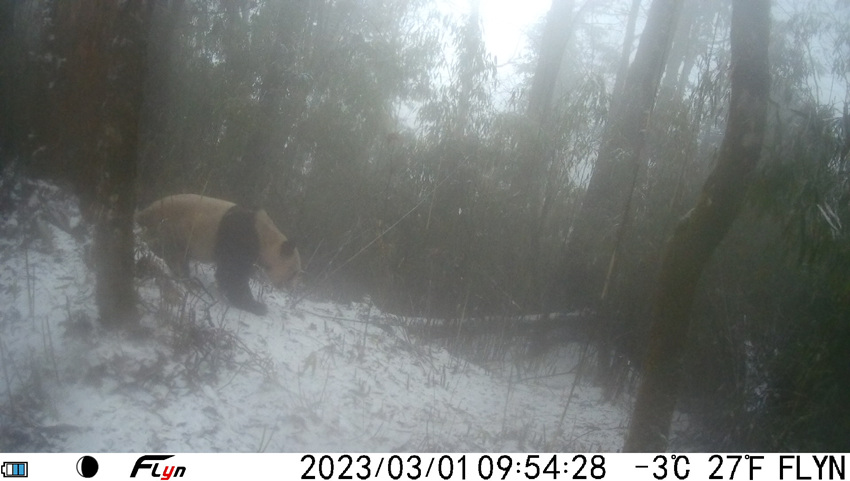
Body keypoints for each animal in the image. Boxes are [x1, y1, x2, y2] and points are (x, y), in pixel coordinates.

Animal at [136, 194, 301, 315]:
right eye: (293, 273)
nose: (292, 289)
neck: (265, 235)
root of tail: (144, 212)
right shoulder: (240, 236)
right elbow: (232, 274)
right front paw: (256, 306)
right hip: (173, 226)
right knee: (174, 254)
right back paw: (189, 279)